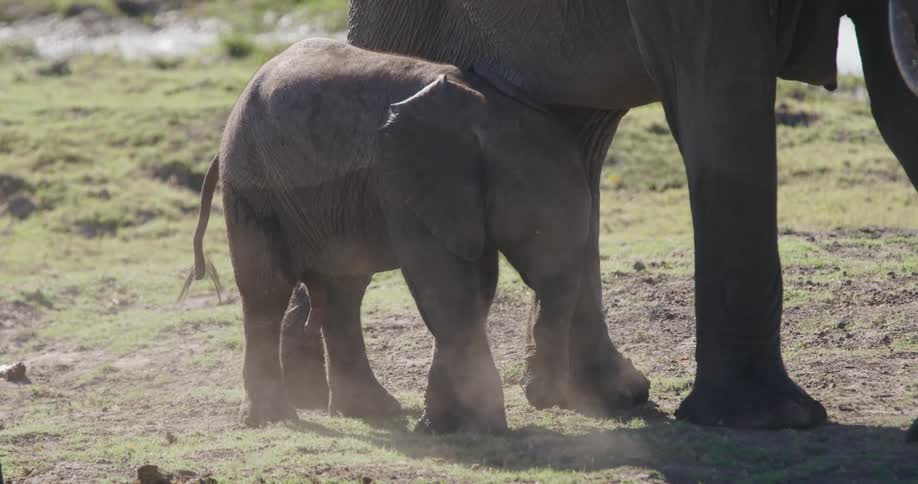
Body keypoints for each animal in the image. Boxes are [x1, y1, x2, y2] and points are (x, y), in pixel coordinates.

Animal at [189, 38, 603, 431]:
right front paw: (477, 427)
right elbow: (445, 283)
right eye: (535, 227)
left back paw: (370, 410)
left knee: (344, 291)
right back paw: (272, 419)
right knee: (268, 290)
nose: (540, 398)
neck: (487, 109)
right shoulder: (403, 180)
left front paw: (444, 426)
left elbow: (474, 285)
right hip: (253, 184)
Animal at [279, 0, 918, 431]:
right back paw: (315, 396)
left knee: (575, 135)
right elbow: (724, 98)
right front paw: (774, 420)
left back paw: (603, 398)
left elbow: (897, 100)